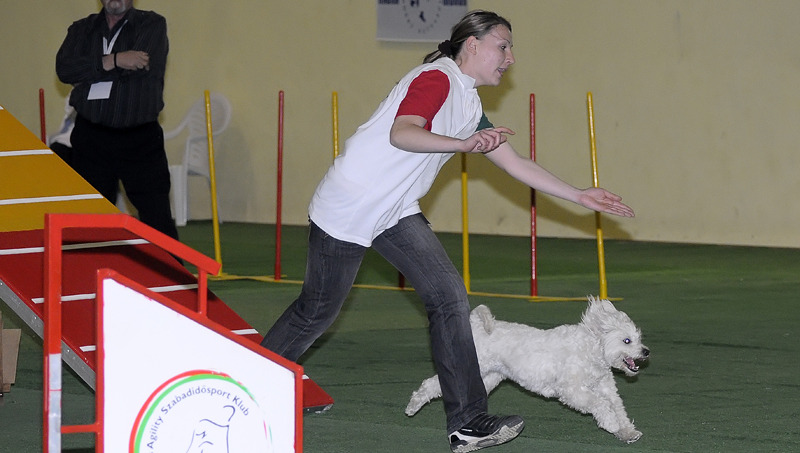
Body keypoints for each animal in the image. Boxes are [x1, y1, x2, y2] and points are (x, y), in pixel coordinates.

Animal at [405, 296, 649, 443]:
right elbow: (601, 405)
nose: (646, 352)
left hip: (488, 377)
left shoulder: (606, 387)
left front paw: (627, 432)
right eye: (627, 340)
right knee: (431, 384)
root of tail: (475, 326)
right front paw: (611, 424)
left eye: (638, 338)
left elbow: (617, 408)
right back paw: (413, 406)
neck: (592, 349)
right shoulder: (572, 391)